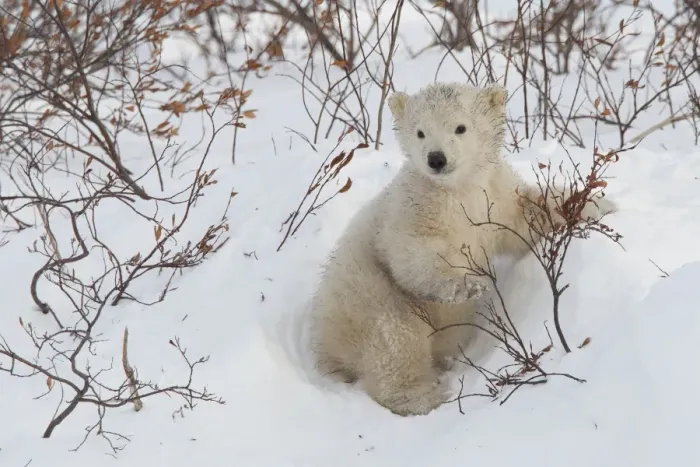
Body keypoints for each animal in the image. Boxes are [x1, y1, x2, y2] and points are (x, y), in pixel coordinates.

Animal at [309, 82, 616, 416]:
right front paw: (465, 285)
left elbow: (528, 215)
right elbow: (412, 255)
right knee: (395, 338)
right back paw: (423, 396)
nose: (436, 159)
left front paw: (595, 204)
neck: (457, 190)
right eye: (420, 132)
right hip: (368, 294)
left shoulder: (495, 198)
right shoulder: (412, 209)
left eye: (460, 127)